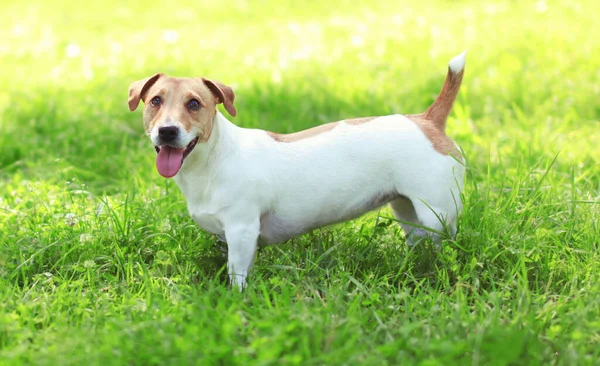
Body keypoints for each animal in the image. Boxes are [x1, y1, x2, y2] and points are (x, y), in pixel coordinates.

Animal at [129, 51, 466, 290]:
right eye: (155, 100)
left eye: (194, 104)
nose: (167, 131)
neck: (212, 159)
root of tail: (427, 119)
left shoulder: (241, 230)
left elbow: (237, 274)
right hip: (407, 209)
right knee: (420, 241)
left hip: (438, 212)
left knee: (448, 243)